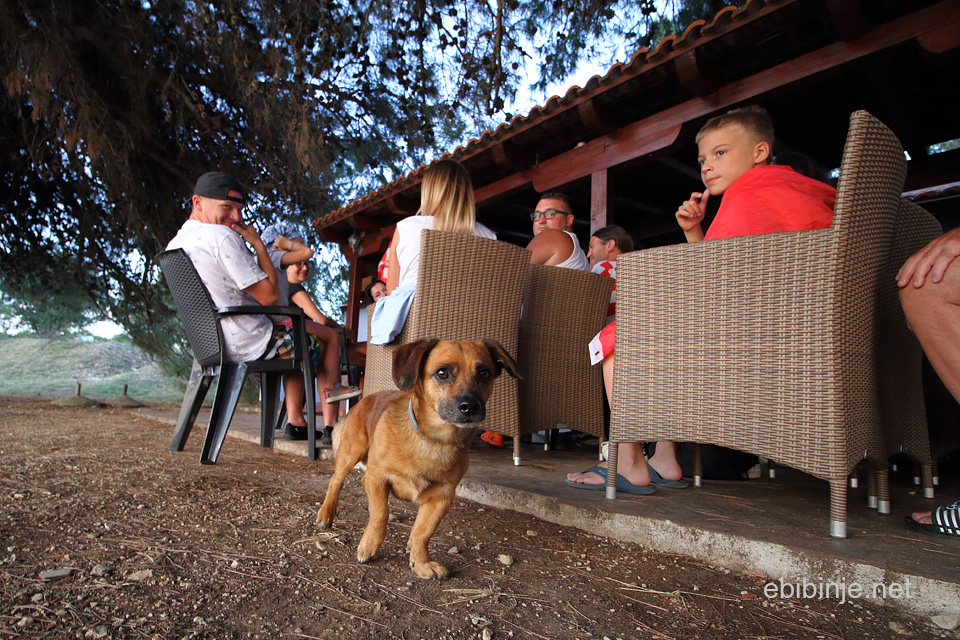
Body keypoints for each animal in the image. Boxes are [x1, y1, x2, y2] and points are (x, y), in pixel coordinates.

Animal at [317, 338, 520, 579]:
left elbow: (423, 531)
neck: (433, 441)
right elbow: (379, 514)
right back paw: (326, 514)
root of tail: (364, 399)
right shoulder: (378, 477)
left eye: (484, 373)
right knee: (336, 482)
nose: (470, 406)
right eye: (442, 373)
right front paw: (370, 545)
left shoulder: (442, 497)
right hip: (350, 454)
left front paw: (421, 561)